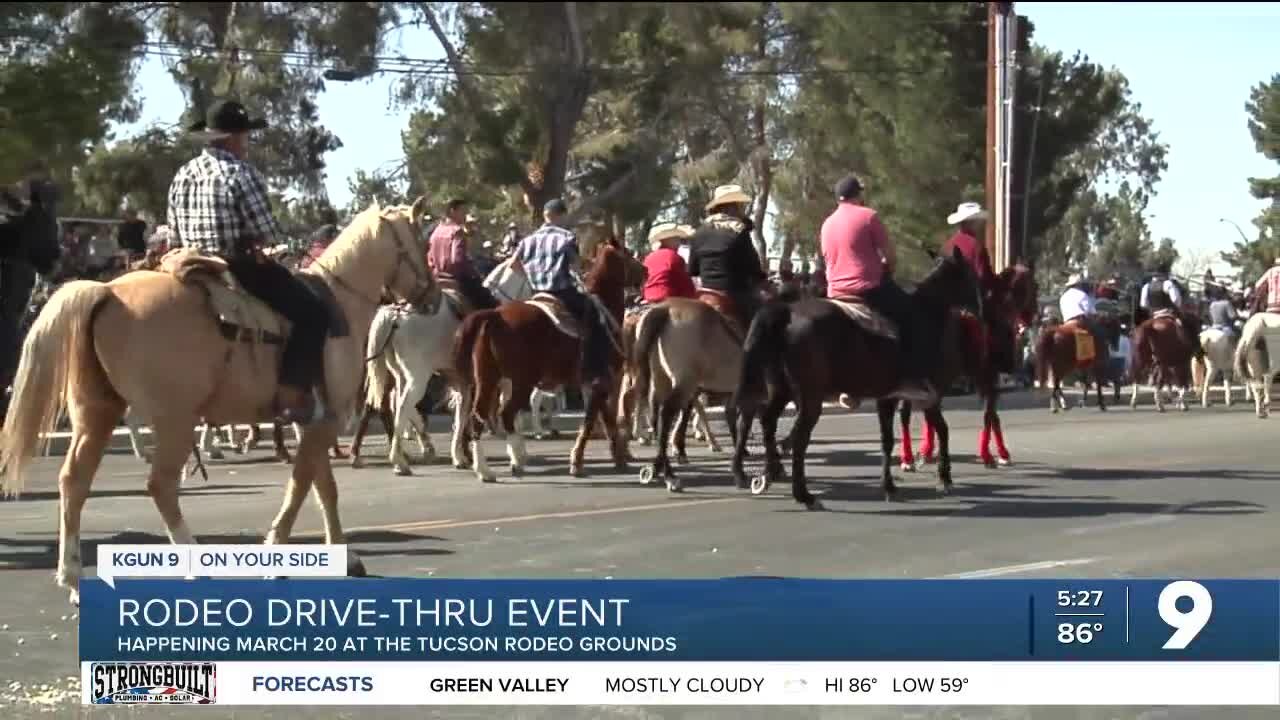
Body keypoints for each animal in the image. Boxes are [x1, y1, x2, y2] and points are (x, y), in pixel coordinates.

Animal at [455, 238, 634, 479]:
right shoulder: (601, 382)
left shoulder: (597, 383)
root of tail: (493, 316)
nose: (646, 271)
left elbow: (607, 419)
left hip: (488, 380)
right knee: (505, 413)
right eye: (629, 255)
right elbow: (590, 421)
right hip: (521, 381)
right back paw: (515, 459)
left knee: (478, 416)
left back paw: (485, 468)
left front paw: (619, 456)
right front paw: (577, 461)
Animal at [732, 249, 977, 507]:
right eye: (970, 274)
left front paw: (890, 485)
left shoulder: (890, 396)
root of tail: (786, 313)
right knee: (798, 437)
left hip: (782, 390)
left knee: (767, 421)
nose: (980, 305)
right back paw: (803, 494)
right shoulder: (925, 395)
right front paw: (943, 478)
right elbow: (940, 429)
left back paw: (770, 473)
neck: (926, 314)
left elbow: (888, 439)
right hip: (809, 397)